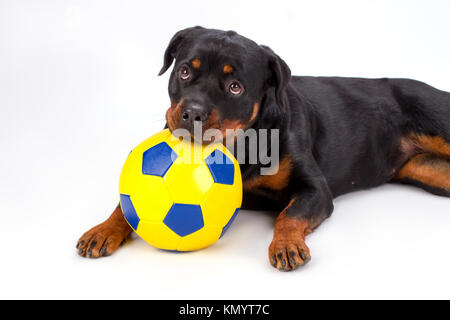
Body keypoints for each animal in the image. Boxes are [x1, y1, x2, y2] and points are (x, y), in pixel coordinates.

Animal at [77, 26, 450, 270]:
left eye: (235, 87)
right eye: (183, 72)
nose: (192, 112)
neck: (243, 143)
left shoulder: (315, 189)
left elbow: (289, 214)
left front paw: (286, 244)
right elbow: (125, 205)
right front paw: (105, 229)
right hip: (430, 171)